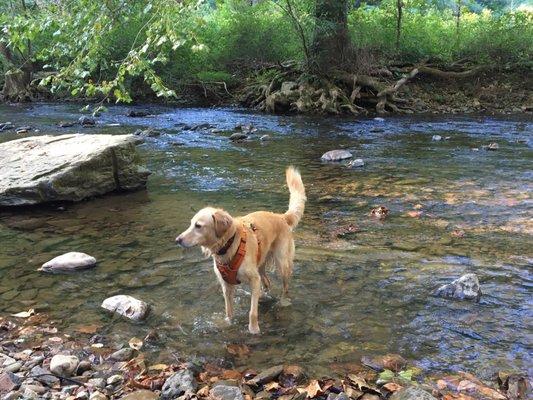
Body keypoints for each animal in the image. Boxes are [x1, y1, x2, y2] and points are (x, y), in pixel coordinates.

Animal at [177, 166, 306, 334]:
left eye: (198, 226)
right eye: (191, 224)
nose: (177, 240)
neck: (228, 244)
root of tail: (281, 217)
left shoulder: (254, 279)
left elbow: (252, 312)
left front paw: (254, 329)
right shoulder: (226, 285)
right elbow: (228, 310)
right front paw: (227, 323)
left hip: (282, 263)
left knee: (285, 288)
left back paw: (283, 302)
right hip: (261, 265)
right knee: (267, 282)